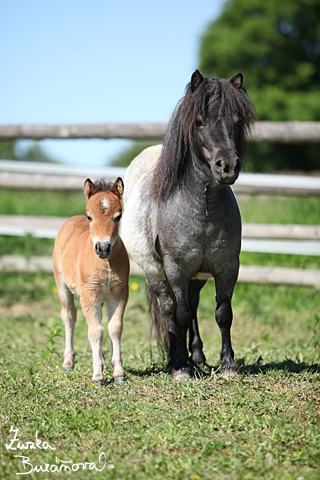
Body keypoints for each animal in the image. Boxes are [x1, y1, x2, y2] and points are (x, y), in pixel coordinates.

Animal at [121, 70, 256, 378]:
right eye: (199, 121)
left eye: (237, 120)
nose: (227, 166)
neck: (201, 210)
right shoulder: (175, 269)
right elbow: (179, 315)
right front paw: (181, 368)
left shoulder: (226, 267)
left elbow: (223, 314)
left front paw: (228, 365)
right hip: (157, 275)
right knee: (170, 309)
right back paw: (175, 360)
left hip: (197, 276)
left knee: (192, 307)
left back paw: (197, 357)